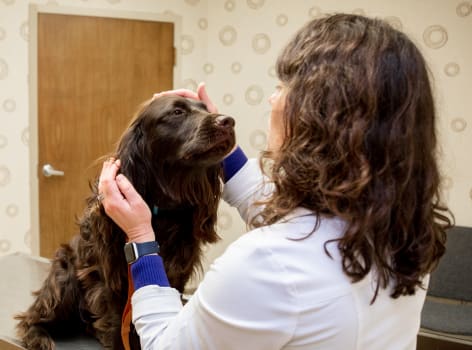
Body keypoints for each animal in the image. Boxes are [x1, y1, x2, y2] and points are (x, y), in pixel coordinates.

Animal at [14, 94, 236, 348]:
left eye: (205, 109)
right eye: (177, 112)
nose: (228, 121)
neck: (161, 211)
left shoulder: (177, 272)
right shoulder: (110, 278)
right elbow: (115, 324)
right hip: (64, 278)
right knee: (31, 317)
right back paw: (39, 337)